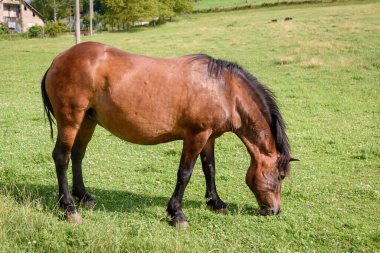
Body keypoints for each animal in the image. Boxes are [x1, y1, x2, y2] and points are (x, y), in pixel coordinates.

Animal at [42, 41, 296, 227]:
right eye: (280, 176)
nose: (275, 210)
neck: (225, 90)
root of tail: (57, 60)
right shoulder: (196, 135)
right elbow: (185, 173)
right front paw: (177, 214)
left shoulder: (209, 137)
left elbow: (210, 169)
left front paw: (216, 202)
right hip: (70, 120)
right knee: (62, 157)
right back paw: (69, 208)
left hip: (87, 121)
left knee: (77, 155)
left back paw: (84, 196)